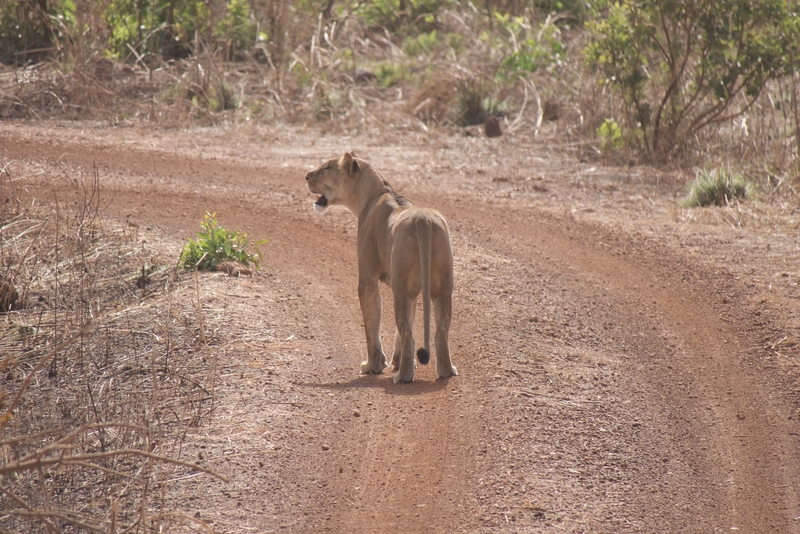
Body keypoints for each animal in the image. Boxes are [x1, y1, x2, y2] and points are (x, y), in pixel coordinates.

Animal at [304, 153, 456, 384]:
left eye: (327, 168)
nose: (306, 176)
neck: (375, 193)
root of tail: (423, 221)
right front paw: (396, 361)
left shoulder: (367, 279)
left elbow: (371, 324)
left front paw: (373, 366)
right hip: (441, 287)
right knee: (440, 329)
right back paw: (446, 370)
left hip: (402, 289)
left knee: (407, 331)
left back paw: (403, 376)